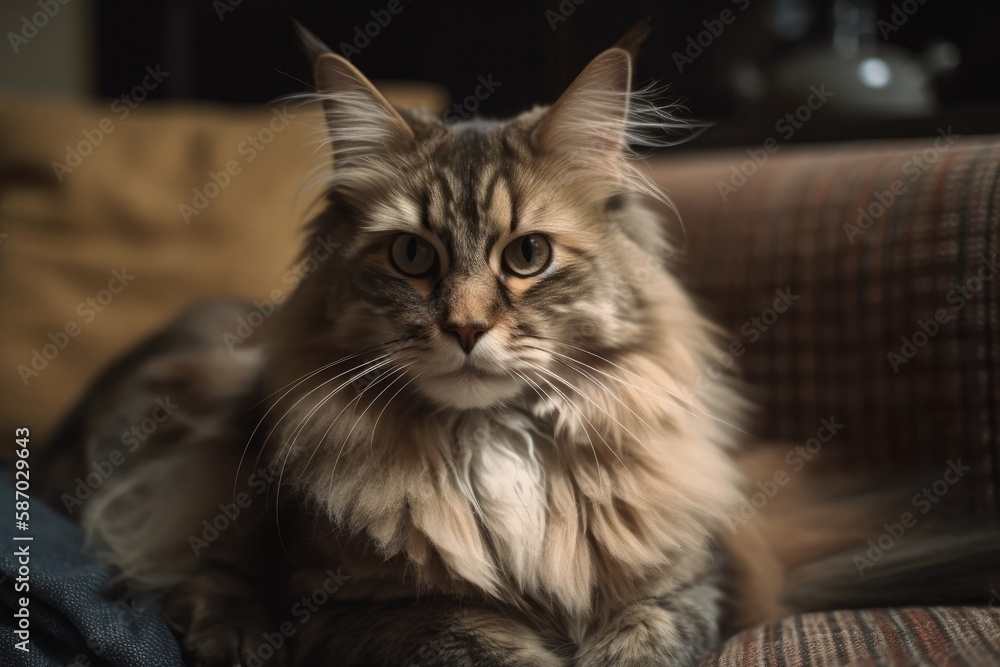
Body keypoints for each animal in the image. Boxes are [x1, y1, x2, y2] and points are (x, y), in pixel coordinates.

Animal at [41, 22, 1000, 667]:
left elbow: (644, 640)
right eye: (413, 256)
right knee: (181, 560)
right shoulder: (358, 607)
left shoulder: (681, 584)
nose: (465, 327)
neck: (497, 440)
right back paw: (229, 635)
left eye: (527, 255)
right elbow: (483, 641)